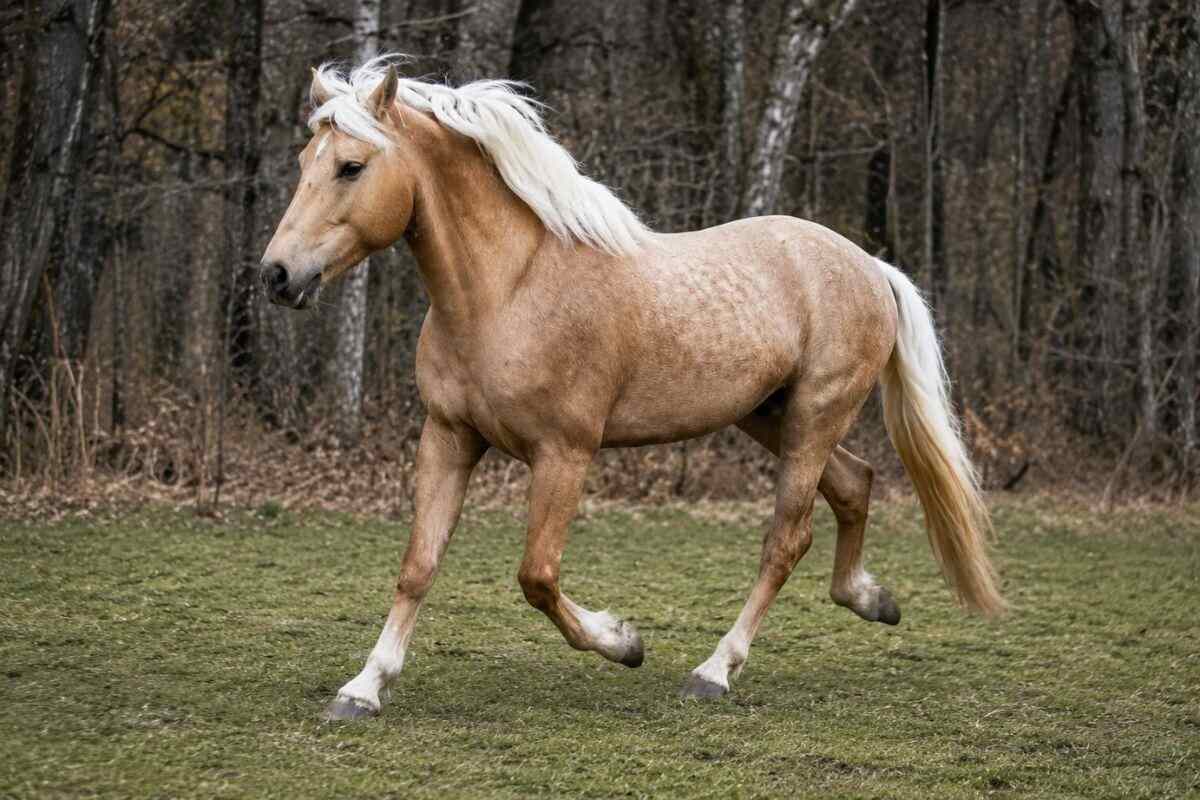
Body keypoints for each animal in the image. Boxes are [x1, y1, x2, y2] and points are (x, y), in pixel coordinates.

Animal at [261, 56, 1004, 720]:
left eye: (352, 166)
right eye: (303, 162)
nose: (277, 275)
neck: (507, 290)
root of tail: (870, 265)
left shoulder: (564, 454)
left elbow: (537, 576)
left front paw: (624, 642)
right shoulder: (449, 438)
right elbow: (419, 564)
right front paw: (363, 688)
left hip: (815, 417)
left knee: (786, 540)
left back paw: (714, 671)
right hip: (769, 415)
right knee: (855, 484)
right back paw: (871, 599)